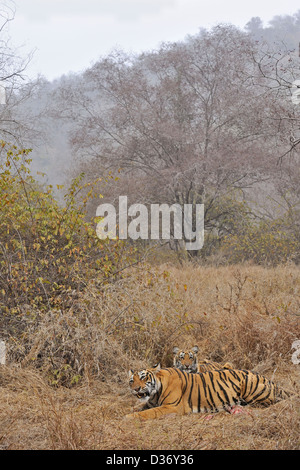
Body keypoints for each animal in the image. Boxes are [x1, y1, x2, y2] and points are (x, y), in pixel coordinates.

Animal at [125, 366, 290, 420]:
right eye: (131, 381)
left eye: (143, 377)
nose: (136, 389)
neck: (155, 393)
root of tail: (270, 380)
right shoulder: (150, 402)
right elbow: (139, 407)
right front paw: (128, 411)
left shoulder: (171, 407)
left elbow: (148, 413)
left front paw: (129, 417)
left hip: (250, 386)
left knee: (266, 403)